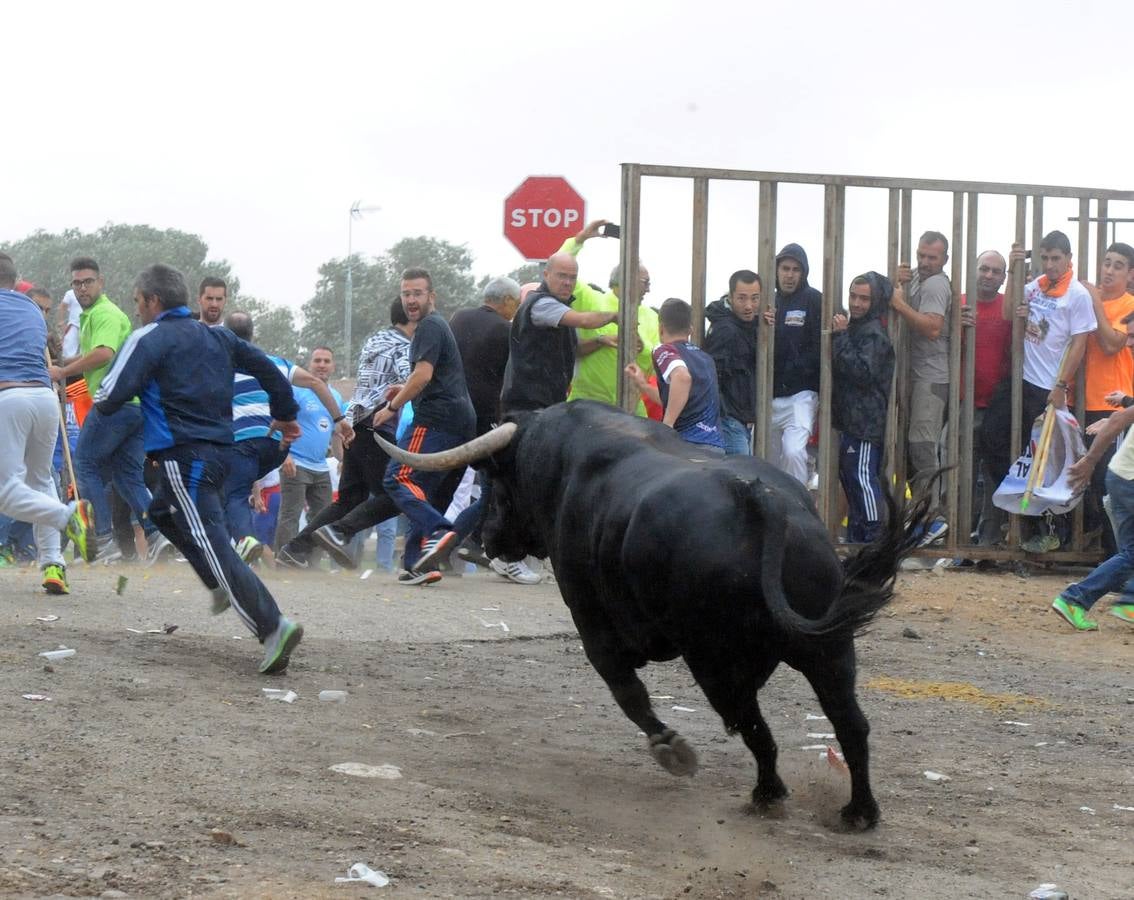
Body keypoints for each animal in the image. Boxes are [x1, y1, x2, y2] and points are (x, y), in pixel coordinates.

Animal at [381, 398, 929, 829]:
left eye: (495, 481)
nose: (487, 538)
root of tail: (760, 500)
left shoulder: (591, 624)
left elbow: (628, 692)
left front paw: (671, 747)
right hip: (829, 648)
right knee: (848, 724)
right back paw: (859, 811)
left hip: (714, 661)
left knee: (754, 727)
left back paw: (767, 795)